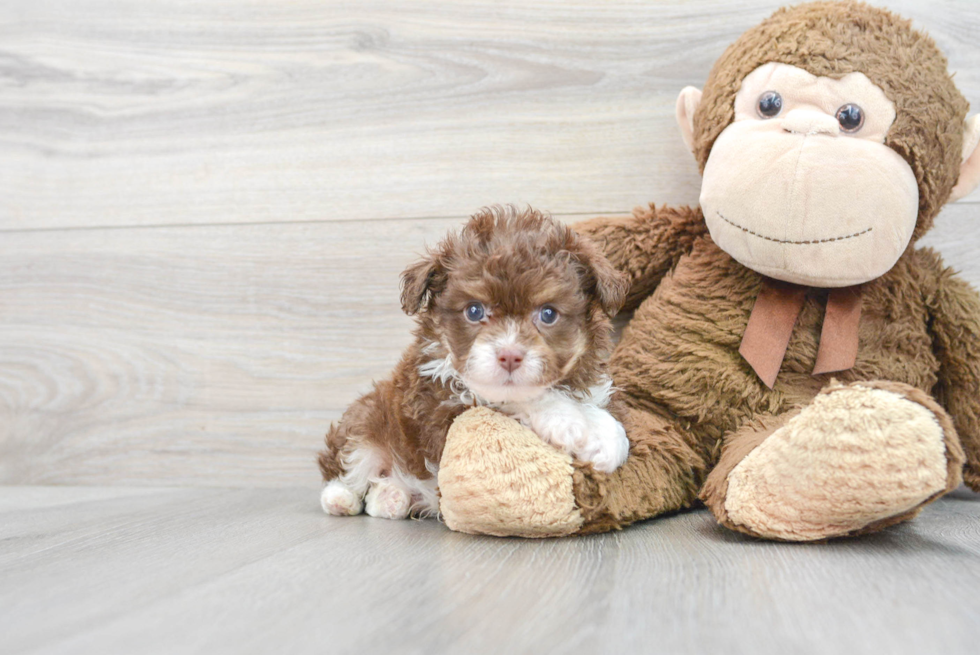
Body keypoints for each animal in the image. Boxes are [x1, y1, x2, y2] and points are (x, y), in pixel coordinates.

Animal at [318, 208, 632, 520]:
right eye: (474, 311)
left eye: (548, 314)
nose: (509, 355)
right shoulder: (441, 411)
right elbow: (509, 400)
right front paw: (567, 419)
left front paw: (607, 439)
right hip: (365, 420)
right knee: (349, 465)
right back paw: (341, 498)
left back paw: (390, 497)